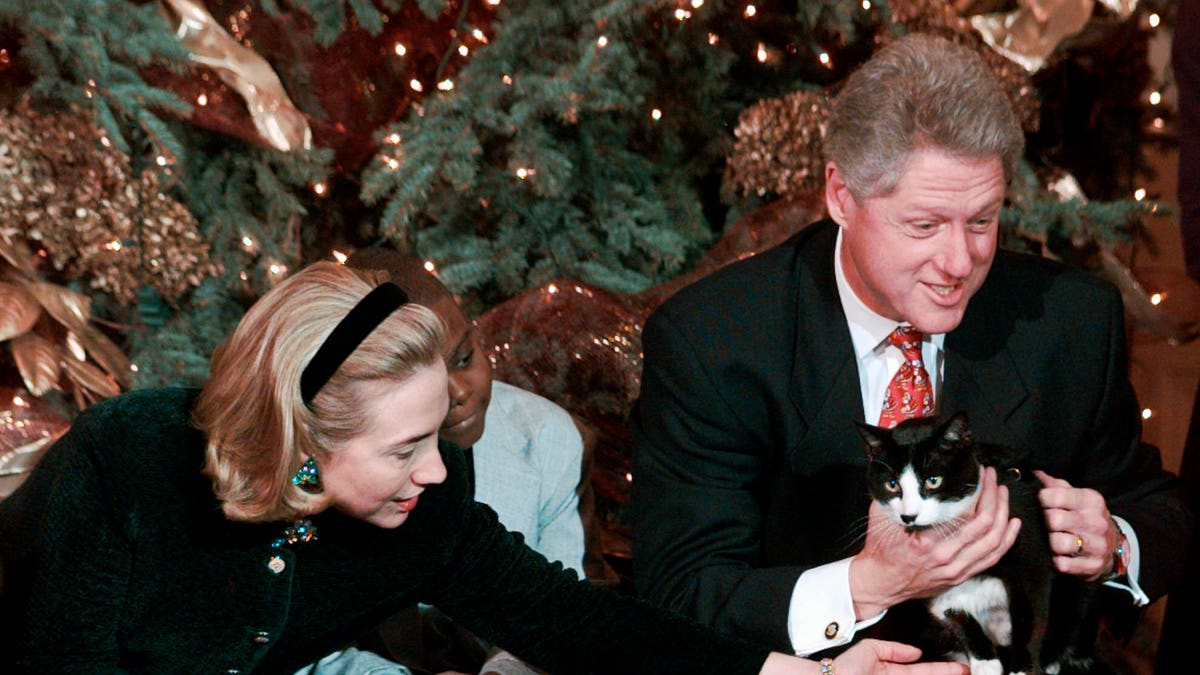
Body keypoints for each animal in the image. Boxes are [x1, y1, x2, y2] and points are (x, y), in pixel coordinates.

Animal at [859, 410, 1108, 672]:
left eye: (933, 480)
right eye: (892, 485)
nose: (909, 516)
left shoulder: (1030, 548)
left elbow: (1031, 611)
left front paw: (1023, 668)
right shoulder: (930, 581)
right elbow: (953, 611)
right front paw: (985, 662)